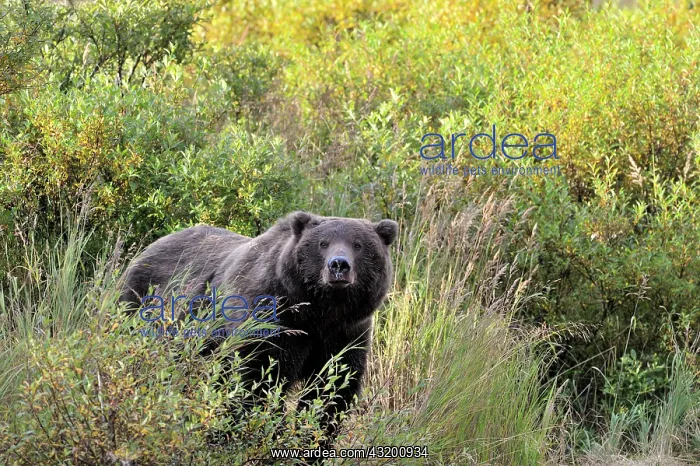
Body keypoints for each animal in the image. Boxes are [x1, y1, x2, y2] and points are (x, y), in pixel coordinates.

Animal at [119, 211, 398, 445]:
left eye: (358, 245)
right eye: (323, 243)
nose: (339, 265)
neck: (316, 312)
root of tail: (150, 246)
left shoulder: (346, 334)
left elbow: (332, 386)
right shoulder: (270, 320)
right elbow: (261, 377)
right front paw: (265, 434)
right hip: (143, 305)